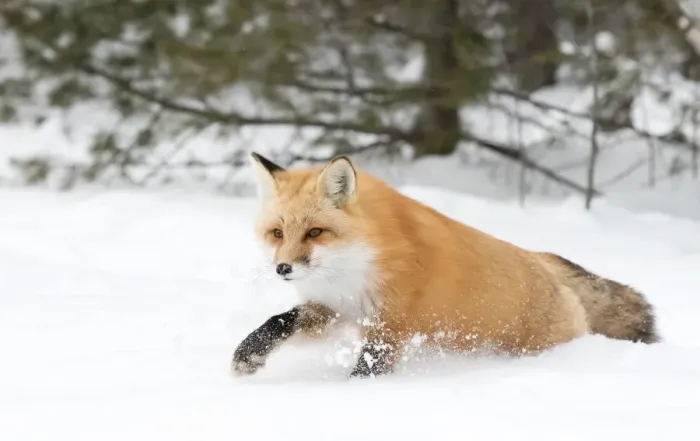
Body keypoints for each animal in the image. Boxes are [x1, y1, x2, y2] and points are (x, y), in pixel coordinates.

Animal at [231, 152, 659, 379]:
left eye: (315, 232)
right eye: (277, 234)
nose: (283, 269)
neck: (358, 266)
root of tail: (538, 258)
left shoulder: (392, 325)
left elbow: (366, 369)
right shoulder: (334, 310)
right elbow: (279, 322)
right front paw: (248, 355)